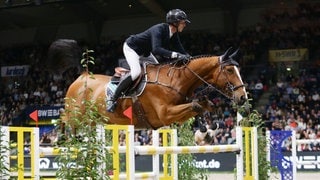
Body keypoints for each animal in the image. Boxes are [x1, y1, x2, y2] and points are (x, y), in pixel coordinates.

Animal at [62, 47, 248, 129]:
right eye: (230, 70)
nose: (243, 97)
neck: (176, 80)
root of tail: (81, 76)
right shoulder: (166, 114)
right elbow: (194, 105)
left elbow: (200, 106)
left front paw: (210, 120)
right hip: (76, 117)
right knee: (66, 122)